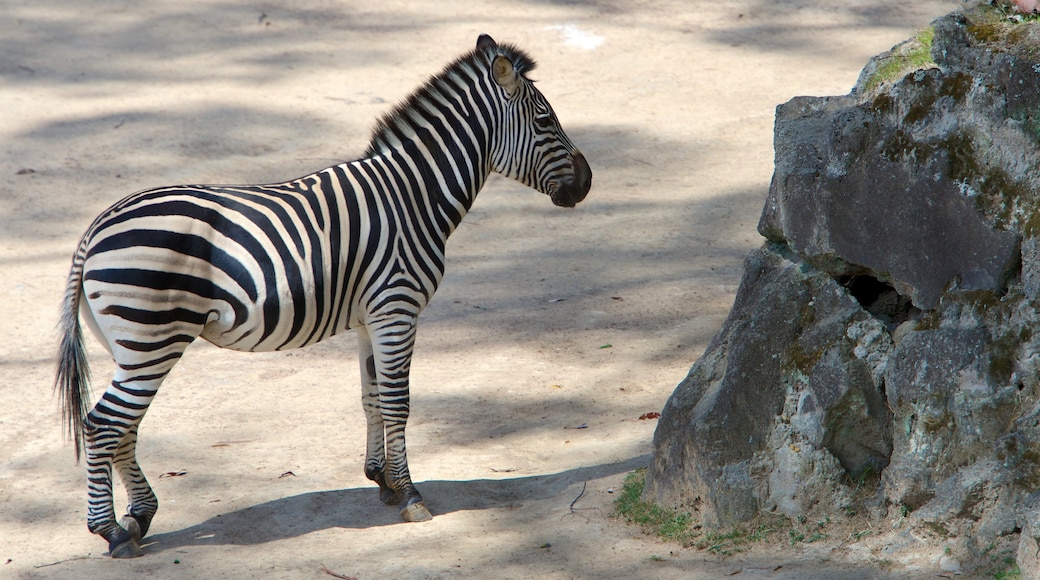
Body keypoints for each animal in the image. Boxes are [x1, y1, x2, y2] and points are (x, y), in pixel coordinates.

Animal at [56, 35, 590, 561]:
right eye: (545, 120)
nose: (587, 184)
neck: (414, 196)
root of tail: (96, 227)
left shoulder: (371, 318)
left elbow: (372, 398)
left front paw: (383, 480)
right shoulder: (397, 308)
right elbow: (398, 402)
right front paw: (410, 494)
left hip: (130, 344)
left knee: (125, 425)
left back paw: (140, 517)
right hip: (152, 338)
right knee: (103, 424)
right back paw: (111, 532)